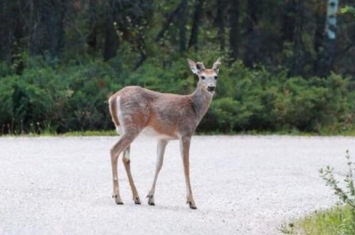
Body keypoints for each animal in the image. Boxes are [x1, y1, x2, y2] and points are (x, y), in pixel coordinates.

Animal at [108, 57, 221, 209]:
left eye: (215, 76)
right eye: (202, 76)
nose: (211, 87)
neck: (194, 109)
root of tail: (113, 98)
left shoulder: (163, 138)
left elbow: (158, 164)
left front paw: (151, 198)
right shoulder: (185, 133)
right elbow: (186, 164)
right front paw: (191, 201)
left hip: (123, 128)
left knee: (125, 158)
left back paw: (136, 197)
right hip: (132, 126)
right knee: (114, 150)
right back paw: (117, 197)